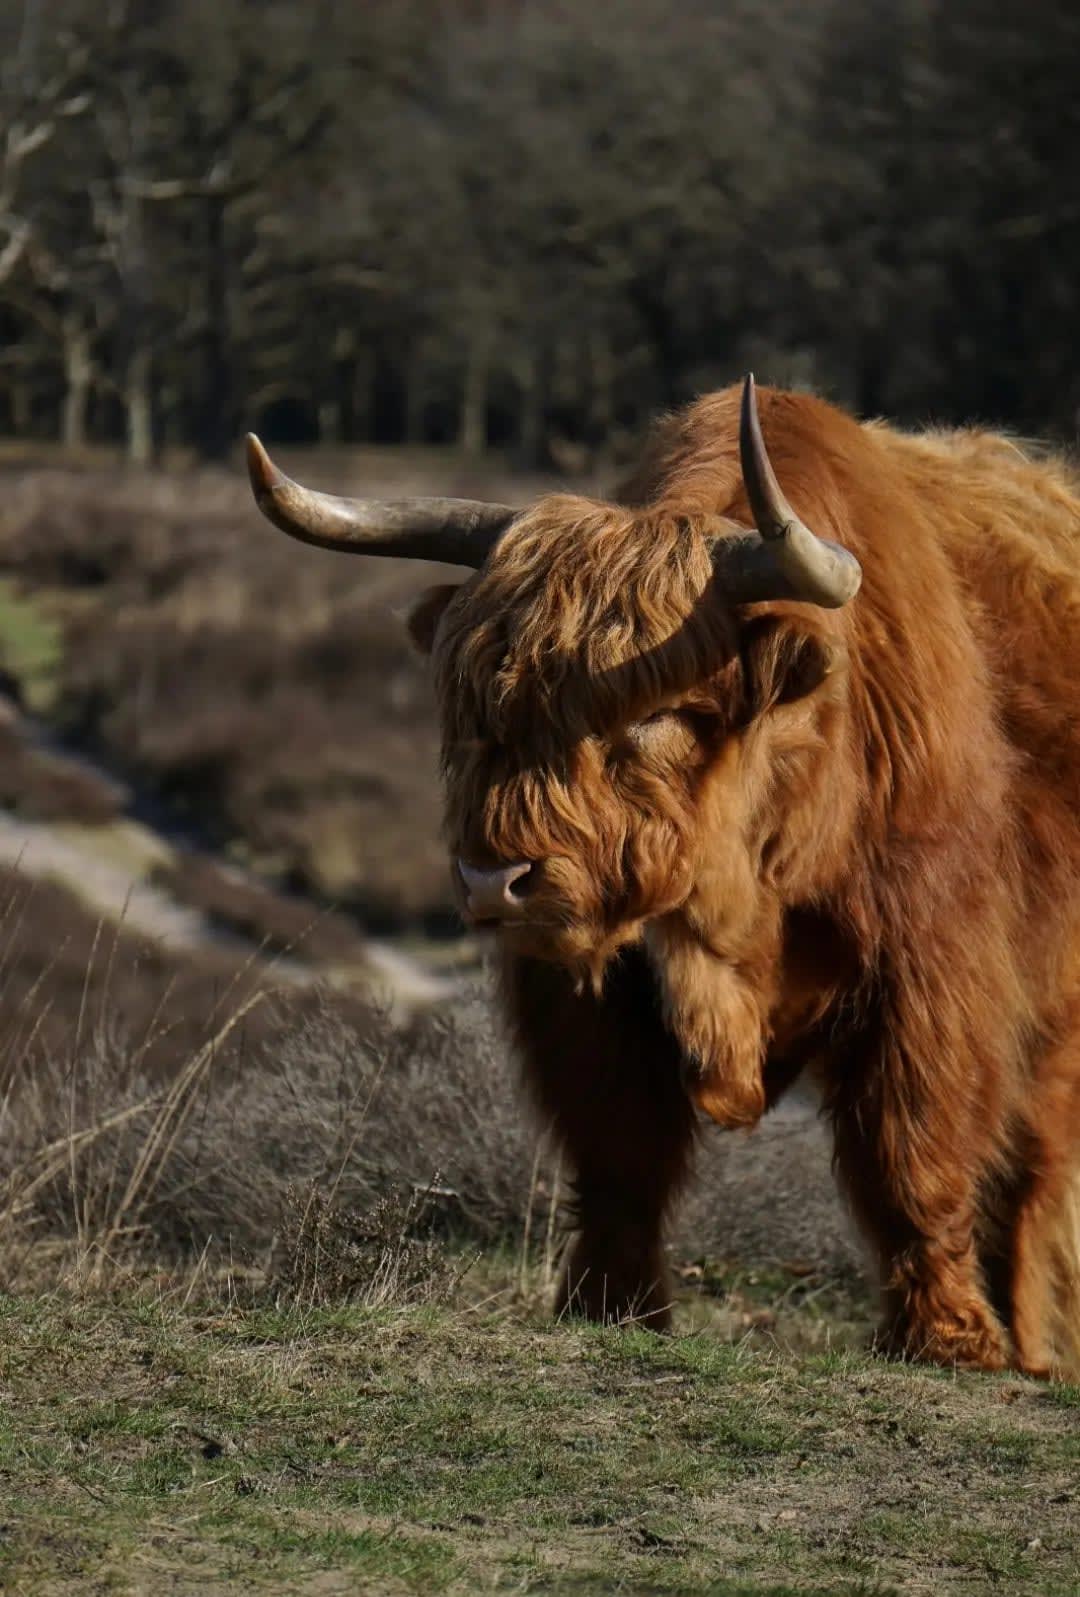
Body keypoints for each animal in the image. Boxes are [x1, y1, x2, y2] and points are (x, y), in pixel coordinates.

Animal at [246, 376, 1080, 1376]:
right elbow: (619, 1148)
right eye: (482, 708)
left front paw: (951, 1337)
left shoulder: (931, 970)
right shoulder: (589, 991)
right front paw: (609, 1303)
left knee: (1033, 1170)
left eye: (658, 714)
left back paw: (1033, 1342)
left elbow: (915, 1149)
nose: (493, 880)